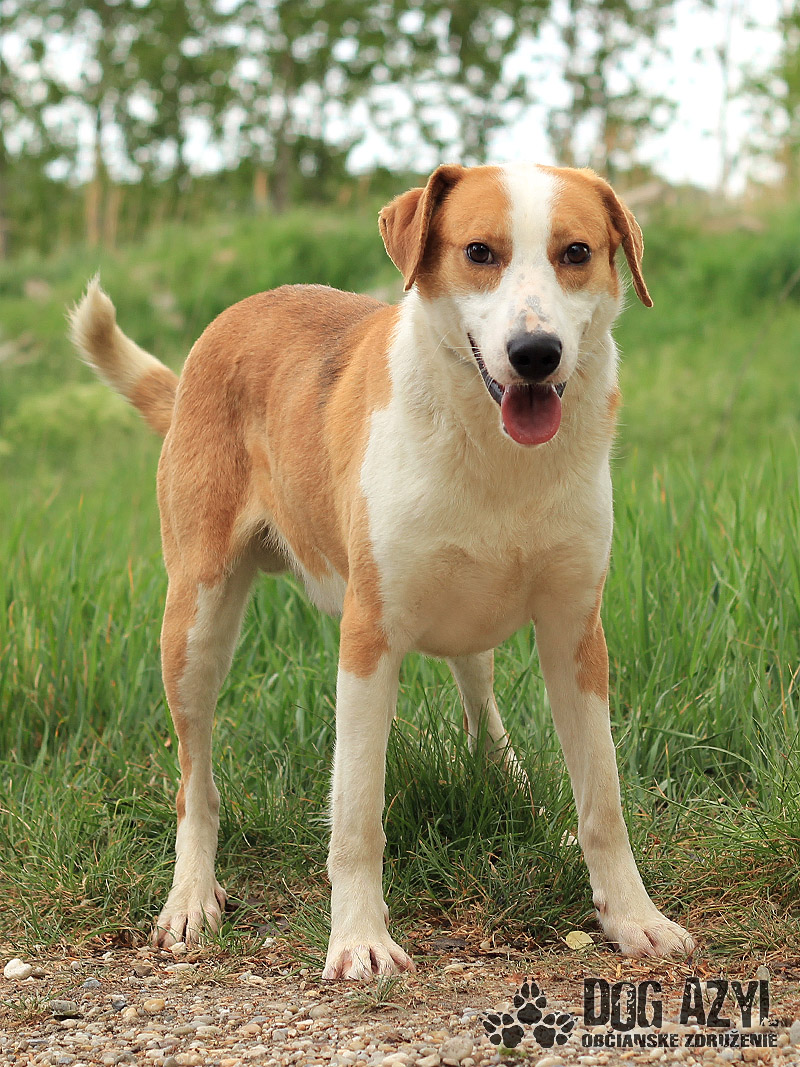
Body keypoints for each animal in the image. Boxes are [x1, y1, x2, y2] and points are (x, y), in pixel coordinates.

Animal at [70, 163, 694, 979]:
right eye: (479, 252)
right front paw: (359, 938)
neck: (494, 453)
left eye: (577, 252)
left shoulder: (575, 634)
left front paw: (633, 917)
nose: (536, 352)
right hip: (194, 625)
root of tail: (224, 324)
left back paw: (519, 794)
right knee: (194, 782)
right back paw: (191, 895)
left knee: (481, 701)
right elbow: (358, 811)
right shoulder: (367, 640)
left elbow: (604, 798)